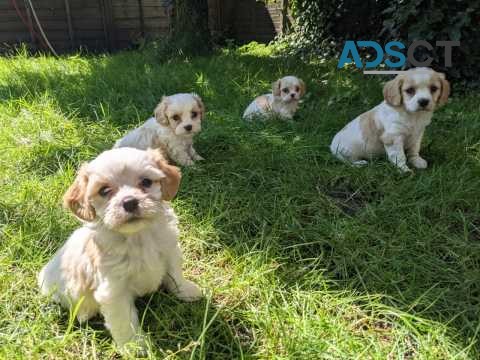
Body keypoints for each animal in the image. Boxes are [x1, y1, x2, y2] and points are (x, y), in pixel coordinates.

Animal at [38, 147, 202, 354]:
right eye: (104, 191)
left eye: (146, 182)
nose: (130, 202)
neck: (138, 236)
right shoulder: (113, 291)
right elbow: (125, 321)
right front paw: (135, 346)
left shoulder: (170, 251)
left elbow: (175, 274)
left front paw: (186, 291)